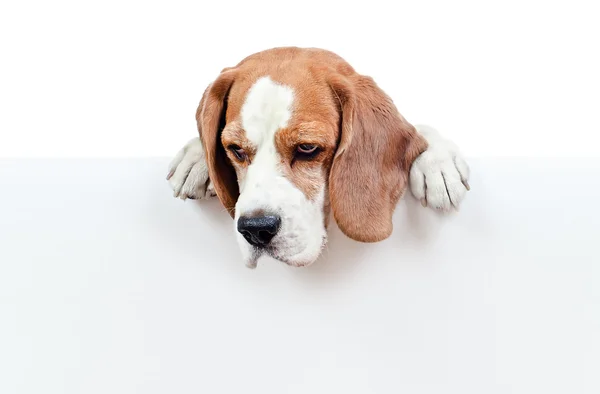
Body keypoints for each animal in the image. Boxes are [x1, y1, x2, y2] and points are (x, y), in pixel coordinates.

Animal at [166, 46, 472, 268]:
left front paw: (438, 163)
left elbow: (419, 131)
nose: (255, 229)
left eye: (307, 148)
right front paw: (195, 157)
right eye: (235, 149)